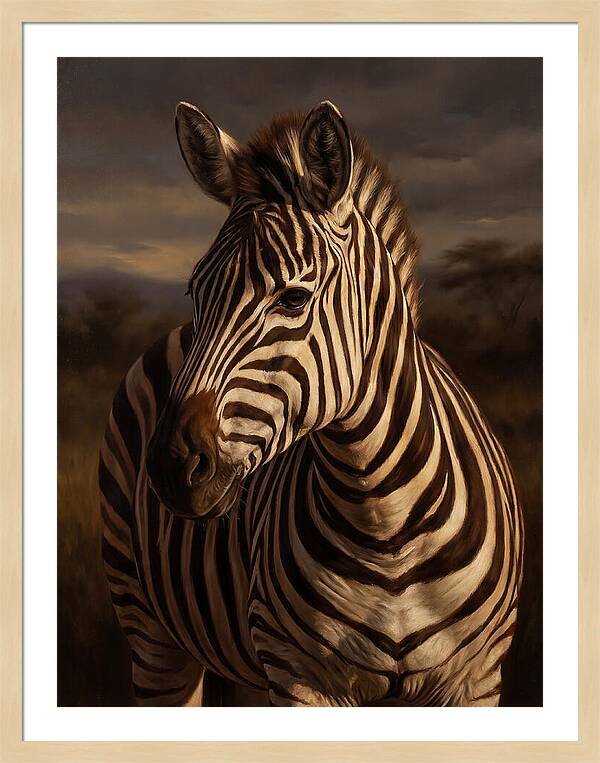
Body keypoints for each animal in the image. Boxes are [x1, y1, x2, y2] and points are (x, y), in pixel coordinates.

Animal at [99, 100, 524, 707]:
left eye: (295, 298)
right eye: (195, 292)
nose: (172, 466)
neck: (385, 524)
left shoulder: (476, 679)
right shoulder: (300, 674)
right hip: (150, 629)